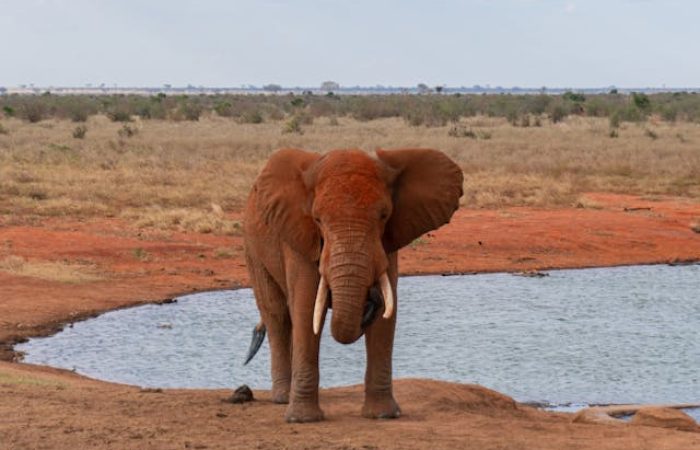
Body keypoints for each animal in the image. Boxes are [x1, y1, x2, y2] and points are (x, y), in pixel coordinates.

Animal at [242, 148, 464, 422]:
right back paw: (283, 398)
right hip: (252, 247)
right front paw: (303, 419)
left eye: (384, 216)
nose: (370, 298)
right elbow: (305, 307)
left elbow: (387, 314)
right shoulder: (300, 237)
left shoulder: (386, 243)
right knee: (278, 315)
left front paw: (383, 415)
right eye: (317, 219)